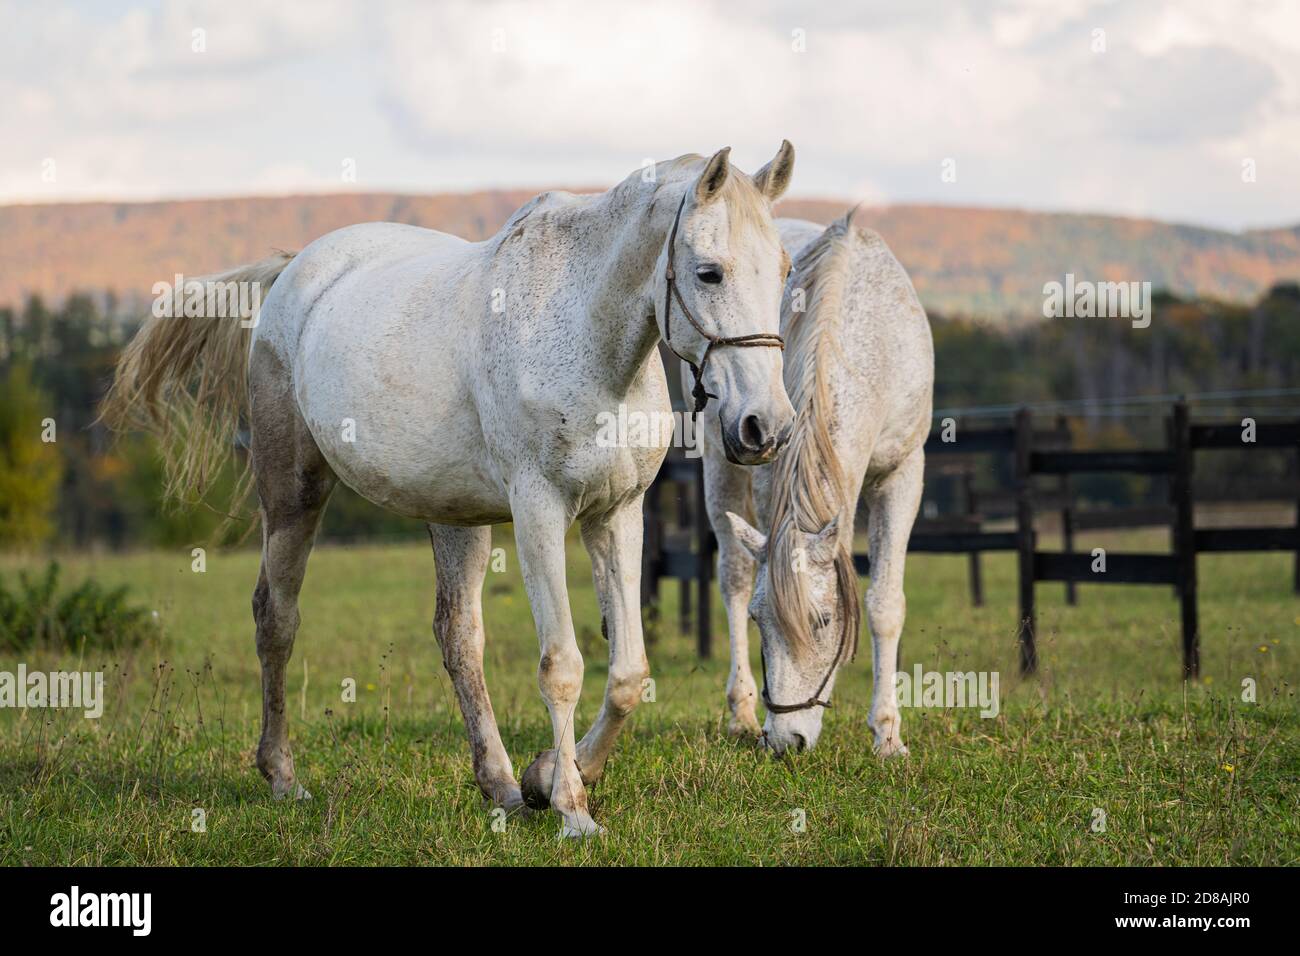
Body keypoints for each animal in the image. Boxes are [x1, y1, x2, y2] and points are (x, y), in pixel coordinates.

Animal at [109, 141, 800, 837]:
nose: (763, 426)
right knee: (276, 618)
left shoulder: (617, 515)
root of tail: (293, 272)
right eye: (710, 273)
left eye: (784, 268)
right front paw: (573, 809)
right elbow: (562, 666)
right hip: (292, 493)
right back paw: (282, 776)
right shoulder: (540, 512)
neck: (586, 333)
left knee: (459, 636)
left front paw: (551, 775)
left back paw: (502, 785)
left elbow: (628, 672)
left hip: (455, 518)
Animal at [691, 213, 935, 759]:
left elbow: (885, 604)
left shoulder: (903, 473)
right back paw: (740, 711)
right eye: (760, 621)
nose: (786, 741)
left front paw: (888, 733)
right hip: (720, 465)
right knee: (733, 575)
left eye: (822, 621)